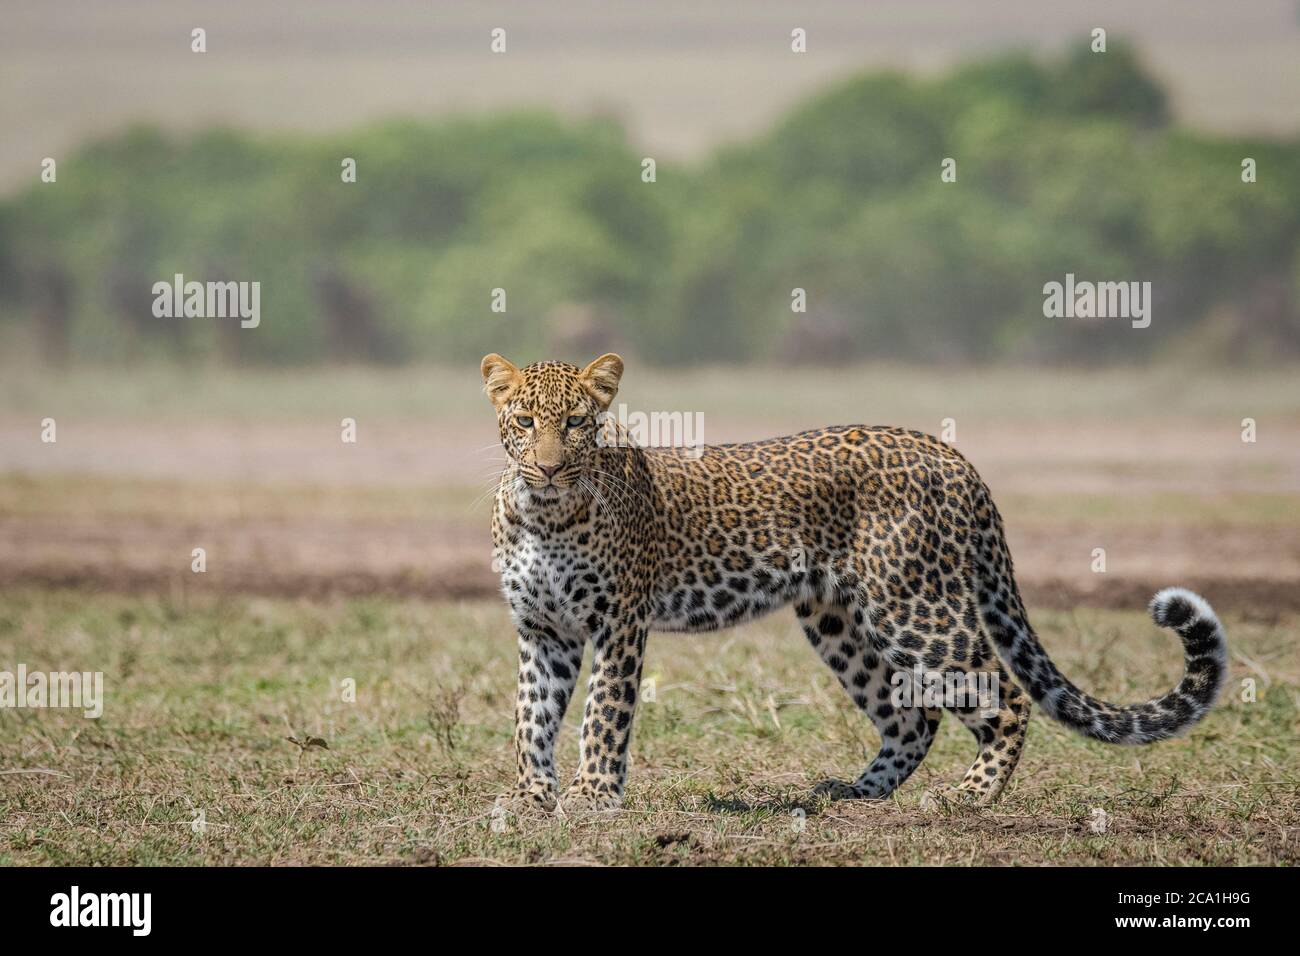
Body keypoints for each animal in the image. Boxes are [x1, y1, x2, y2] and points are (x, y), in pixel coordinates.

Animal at [482, 352, 1229, 814]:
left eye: (576, 422)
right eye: (525, 421)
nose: (548, 466)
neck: (544, 511)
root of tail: (949, 453)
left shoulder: (619, 623)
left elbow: (603, 716)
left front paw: (590, 799)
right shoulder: (544, 629)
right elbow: (531, 716)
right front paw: (528, 799)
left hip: (913, 607)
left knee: (1004, 696)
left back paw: (970, 797)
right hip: (839, 619)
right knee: (913, 714)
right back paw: (856, 792)